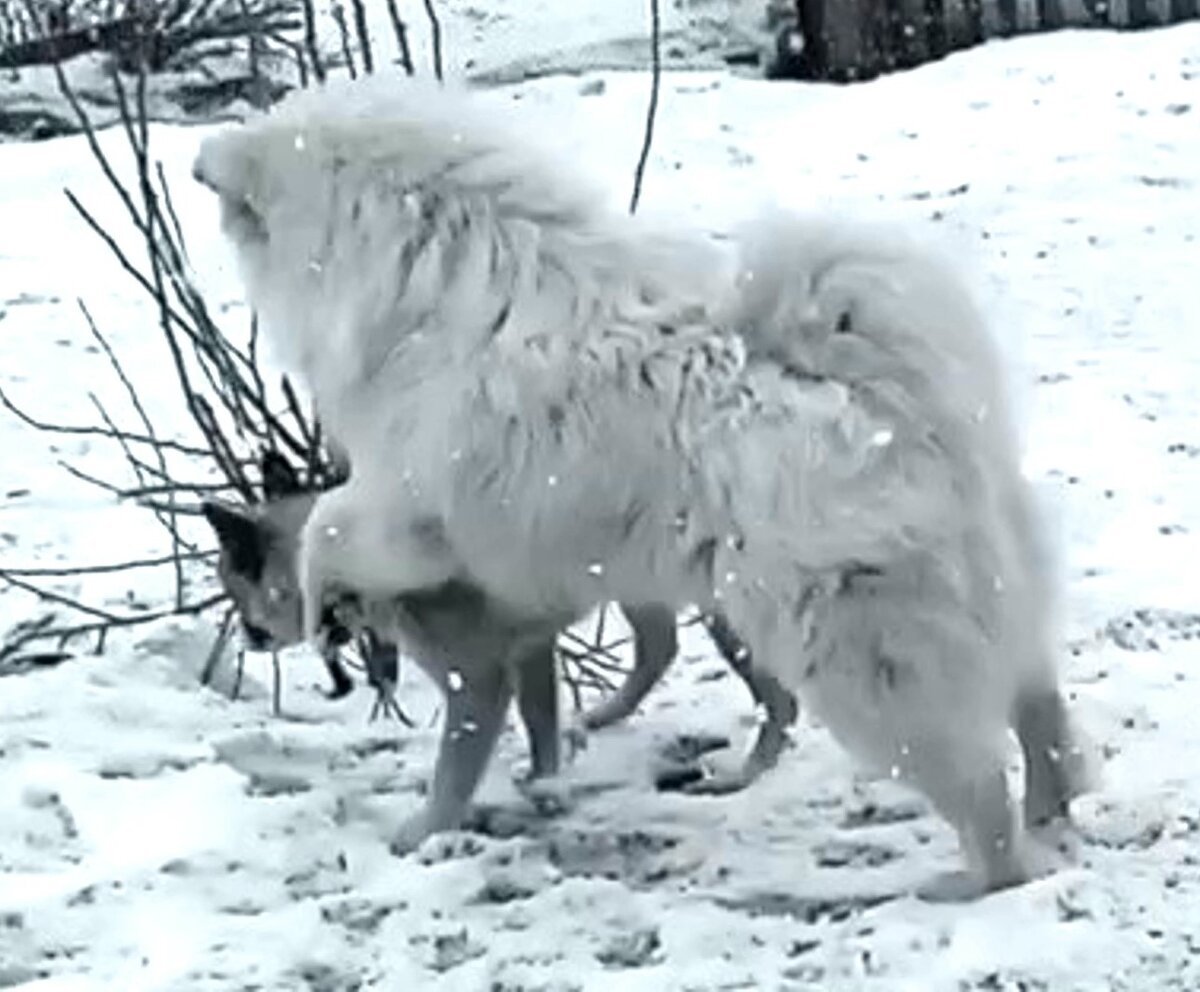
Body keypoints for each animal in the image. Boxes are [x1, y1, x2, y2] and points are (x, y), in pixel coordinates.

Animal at [192, 77, 1094, 897]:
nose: (201, 158)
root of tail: (877, 397)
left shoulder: (409, 510)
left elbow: (325, 530)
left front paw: (319, 603)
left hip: (858, 657)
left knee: (978, 786)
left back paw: (976, 877)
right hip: (987, 598)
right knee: (1040, 713)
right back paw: (1054, 811)